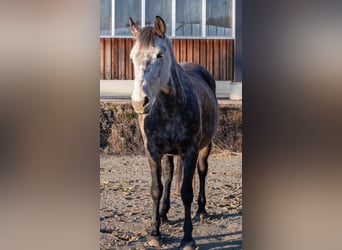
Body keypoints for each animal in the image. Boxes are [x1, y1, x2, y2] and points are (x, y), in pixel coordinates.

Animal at [128, 16, 219, 250]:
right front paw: (155, 232)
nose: (139, 102)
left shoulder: (190, 151)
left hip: (205, 147)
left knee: (202, 172)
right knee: (169, 176)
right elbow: (156, 188)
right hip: (168, 152)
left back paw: (201, 210)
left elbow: (186, 192)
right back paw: (164, 213)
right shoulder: (152, 152)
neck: (170, 106)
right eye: (132, 57)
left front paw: (187, 238)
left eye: (159, 55)